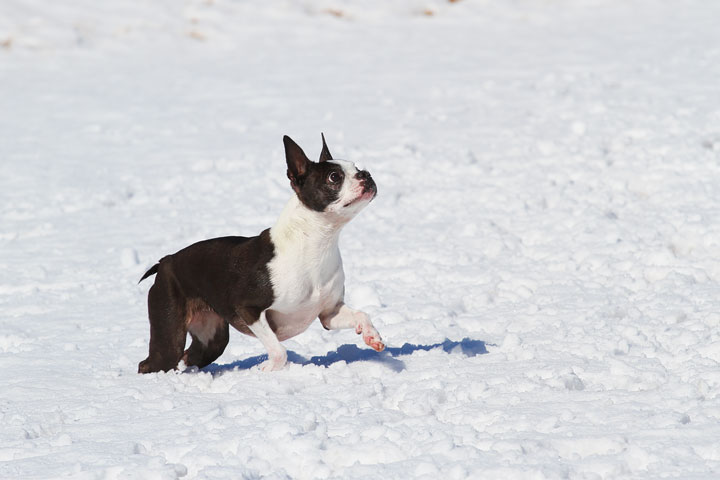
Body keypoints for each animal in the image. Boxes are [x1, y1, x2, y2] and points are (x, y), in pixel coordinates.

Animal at [139, 135, 386, 376]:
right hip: (170, 332)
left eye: (356, 167)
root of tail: (166, 261)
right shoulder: (249, 309)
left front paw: (372, 336)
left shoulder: (329, 313)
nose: (366, 174)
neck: (316, 242)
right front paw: (267, 369)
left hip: (212, 339)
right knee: (151, 363)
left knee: (189, 356)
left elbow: (362, 314)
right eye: (334, 177)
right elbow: (279, 350)